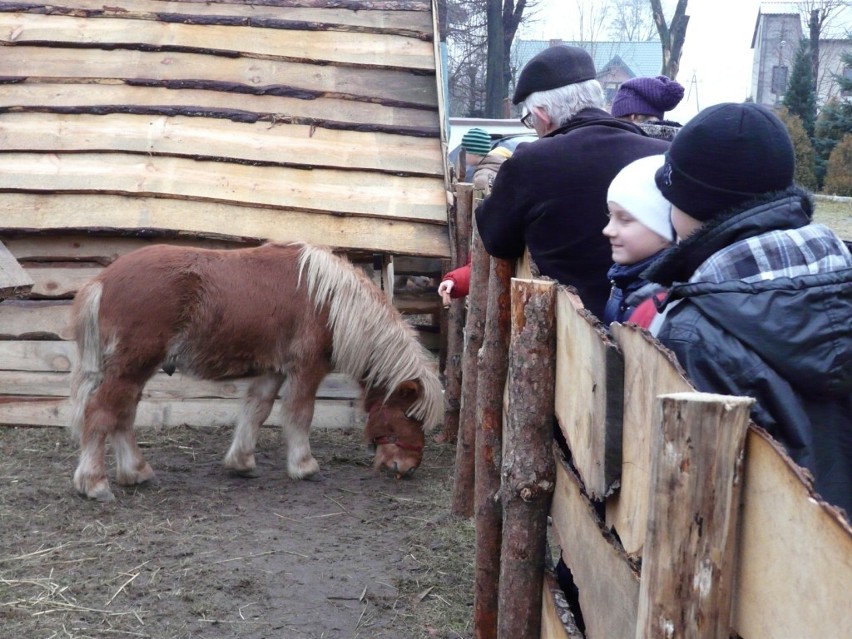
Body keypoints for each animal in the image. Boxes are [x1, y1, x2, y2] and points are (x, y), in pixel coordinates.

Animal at [69, 242, 442, 502]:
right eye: (409, 415)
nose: (408, 468)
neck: (327, 300)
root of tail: (102, 280)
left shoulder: (272, 370)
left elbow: (256, 411)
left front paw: (242, 462)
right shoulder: (306, 369)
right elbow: (299, 414)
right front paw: (304, 466)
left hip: (132, 370)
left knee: (123, 415)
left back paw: (135, 472)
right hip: (131, 367)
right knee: (102, 412)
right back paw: (94, 483)